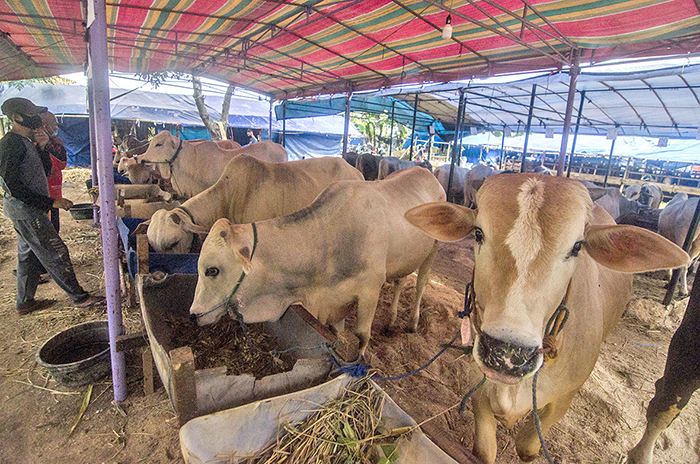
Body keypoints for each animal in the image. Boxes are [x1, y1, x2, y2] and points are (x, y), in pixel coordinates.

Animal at [189, 167, 446, 356]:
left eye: (212, 270)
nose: (193, 314)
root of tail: (427, 172)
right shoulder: (335, 300)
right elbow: (336, 332)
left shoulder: (370, 290)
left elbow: (361, 336)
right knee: (400, 283)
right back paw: (391, 321)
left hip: (432, 251)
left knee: (421, 285)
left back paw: (412, 322)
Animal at [402, 172, 688, 462]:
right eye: (479, 233)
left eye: (577, 246)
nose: (507, 354)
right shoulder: (478, 385)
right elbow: (484, 450)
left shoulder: (563, 398)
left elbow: (527, 447)